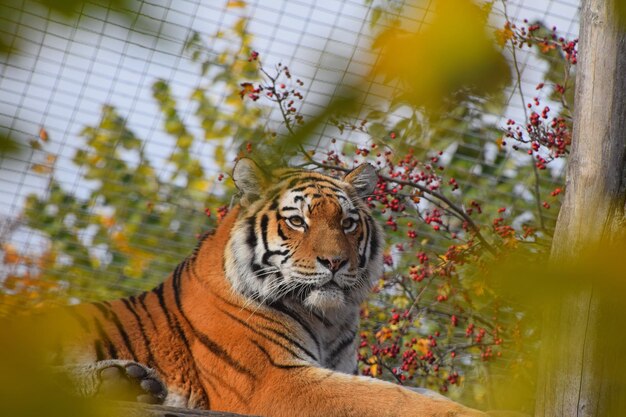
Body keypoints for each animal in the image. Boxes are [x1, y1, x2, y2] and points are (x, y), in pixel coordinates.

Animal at [34, 158, 486, 414]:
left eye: (347, 222)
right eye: (298, 221)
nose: (335, 262)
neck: (328, 320)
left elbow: (411, 392)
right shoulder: (274, 378)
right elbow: (393, 399)